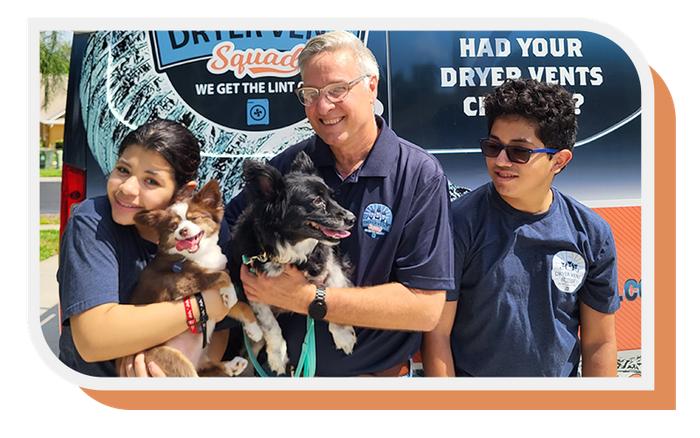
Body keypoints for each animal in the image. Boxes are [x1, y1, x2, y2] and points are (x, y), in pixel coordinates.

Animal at [120, 180, 262, 378]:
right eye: (173, 226)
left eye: (194, 218)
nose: (183, 230)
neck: (196, 256)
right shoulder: (181, 284)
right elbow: (223, 276)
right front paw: (230, 293)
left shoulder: (215, 308)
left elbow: (242, 306)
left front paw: (254, 329)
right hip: (169, 357)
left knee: (207, 367)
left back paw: (233, 365)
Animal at [232, 152, 358, 374]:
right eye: (317, 201)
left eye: (332, 197)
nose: (352, 218)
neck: (289, 250)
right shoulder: (251, 287)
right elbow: (269, 325)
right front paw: (277, 356)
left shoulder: (331, 265)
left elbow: (334, 289)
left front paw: (343, 334)